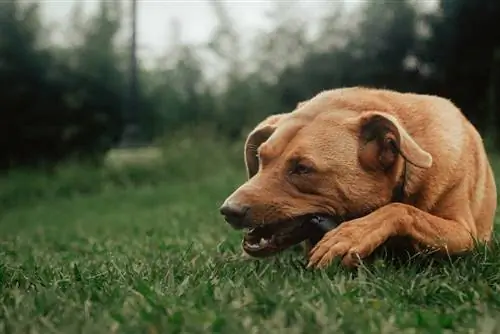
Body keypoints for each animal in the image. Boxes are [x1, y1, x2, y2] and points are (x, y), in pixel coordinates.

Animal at [219, 87, 496, 268]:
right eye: (261, 158)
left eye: (303, 168)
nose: (228, 211)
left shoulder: (465, 234)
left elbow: (400, 210)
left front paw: (350, 235)